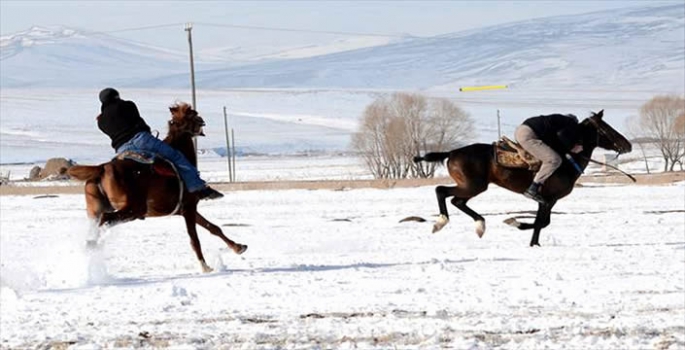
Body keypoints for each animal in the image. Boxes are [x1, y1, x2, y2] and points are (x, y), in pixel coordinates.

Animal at [69, 102, 246, 272]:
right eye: (194, 114)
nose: (203, 122)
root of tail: (102, 168)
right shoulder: (189, 208)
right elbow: (194, 239)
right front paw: (205, 266)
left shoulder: (186, 209)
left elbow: (213, 228)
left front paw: (239, 247)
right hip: (133, 208)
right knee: (105, 219)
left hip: (98, 210)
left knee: (97, 224)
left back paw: (90, 247)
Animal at [412, 109, 632, 246]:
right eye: (607, 128)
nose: (628, 145)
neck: (568, 160)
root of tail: (451, 152)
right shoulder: (547, 199)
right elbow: (541, 222)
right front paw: (515, 223)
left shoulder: (549, 201)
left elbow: (543, 222)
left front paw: (534, 242)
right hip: (472, 186)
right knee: (441, 191)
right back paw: (441, 222)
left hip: (472, 187)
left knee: (457, 201)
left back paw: (480, 225)